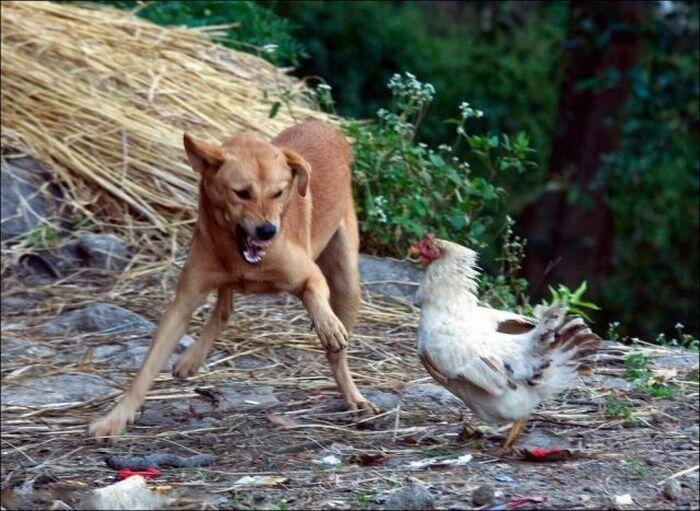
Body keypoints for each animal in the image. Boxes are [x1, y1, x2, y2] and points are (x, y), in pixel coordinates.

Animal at [91, 121, 380, 440]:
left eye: (279, 193)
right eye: (242, 193)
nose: (268, 231)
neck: (238, 255)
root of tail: (326, 125)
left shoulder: (309, 275)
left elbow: (313, 295)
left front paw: (327, 326)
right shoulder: (184, 301)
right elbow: (147, 368)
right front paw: (115, 419)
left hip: (347, 283)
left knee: (336, 354)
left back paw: (353, 396)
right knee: (224, 309)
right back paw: (192, 358)